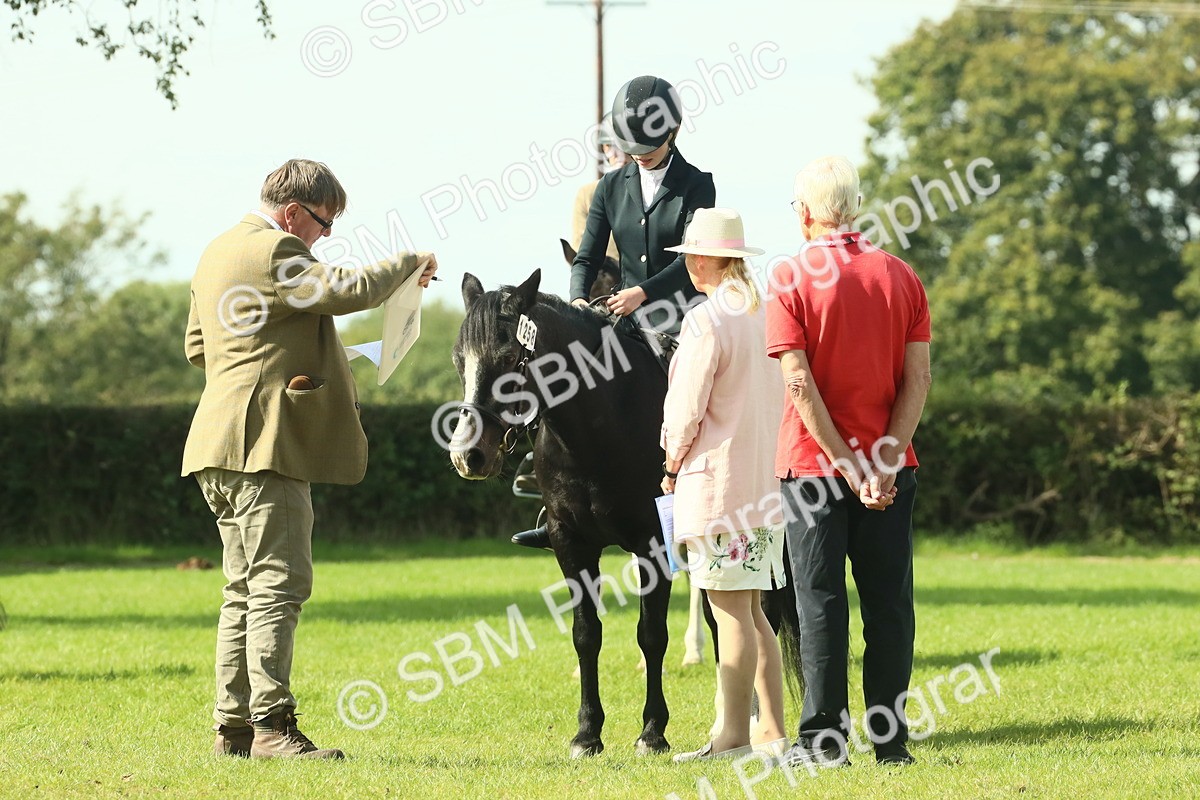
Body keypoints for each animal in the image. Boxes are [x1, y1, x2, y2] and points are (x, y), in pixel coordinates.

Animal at [449, 268, 674, 758]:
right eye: (460, 360)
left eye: (510, 357)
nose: (468, 456)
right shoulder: (570, 542)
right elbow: (586, 634)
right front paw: (587, 733)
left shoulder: (653, 545)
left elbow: (651, 634)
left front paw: (652, 731)